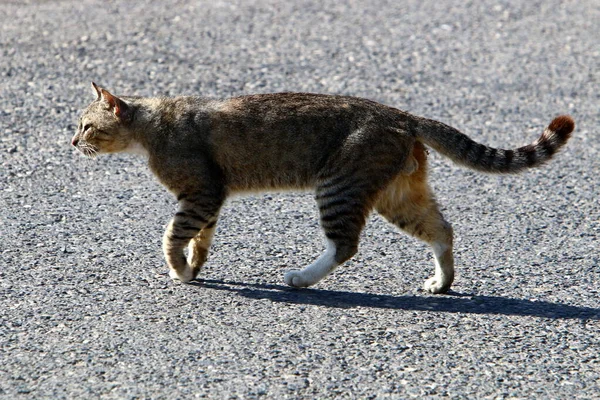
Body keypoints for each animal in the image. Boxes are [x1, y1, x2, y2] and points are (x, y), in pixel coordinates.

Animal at [72, 82, 576, 294]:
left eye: (86, 125)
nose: (72, 142)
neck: (153, 124)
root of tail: (401, 114)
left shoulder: (200, 192)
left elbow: (172, 235)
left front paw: (178, 269)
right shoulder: (211, 197)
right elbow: (201, 237)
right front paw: (195, 265)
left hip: (339, 185)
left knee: (346, 245)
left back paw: (301, 278)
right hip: (398, 194)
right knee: (443, 230)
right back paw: (441, 282)